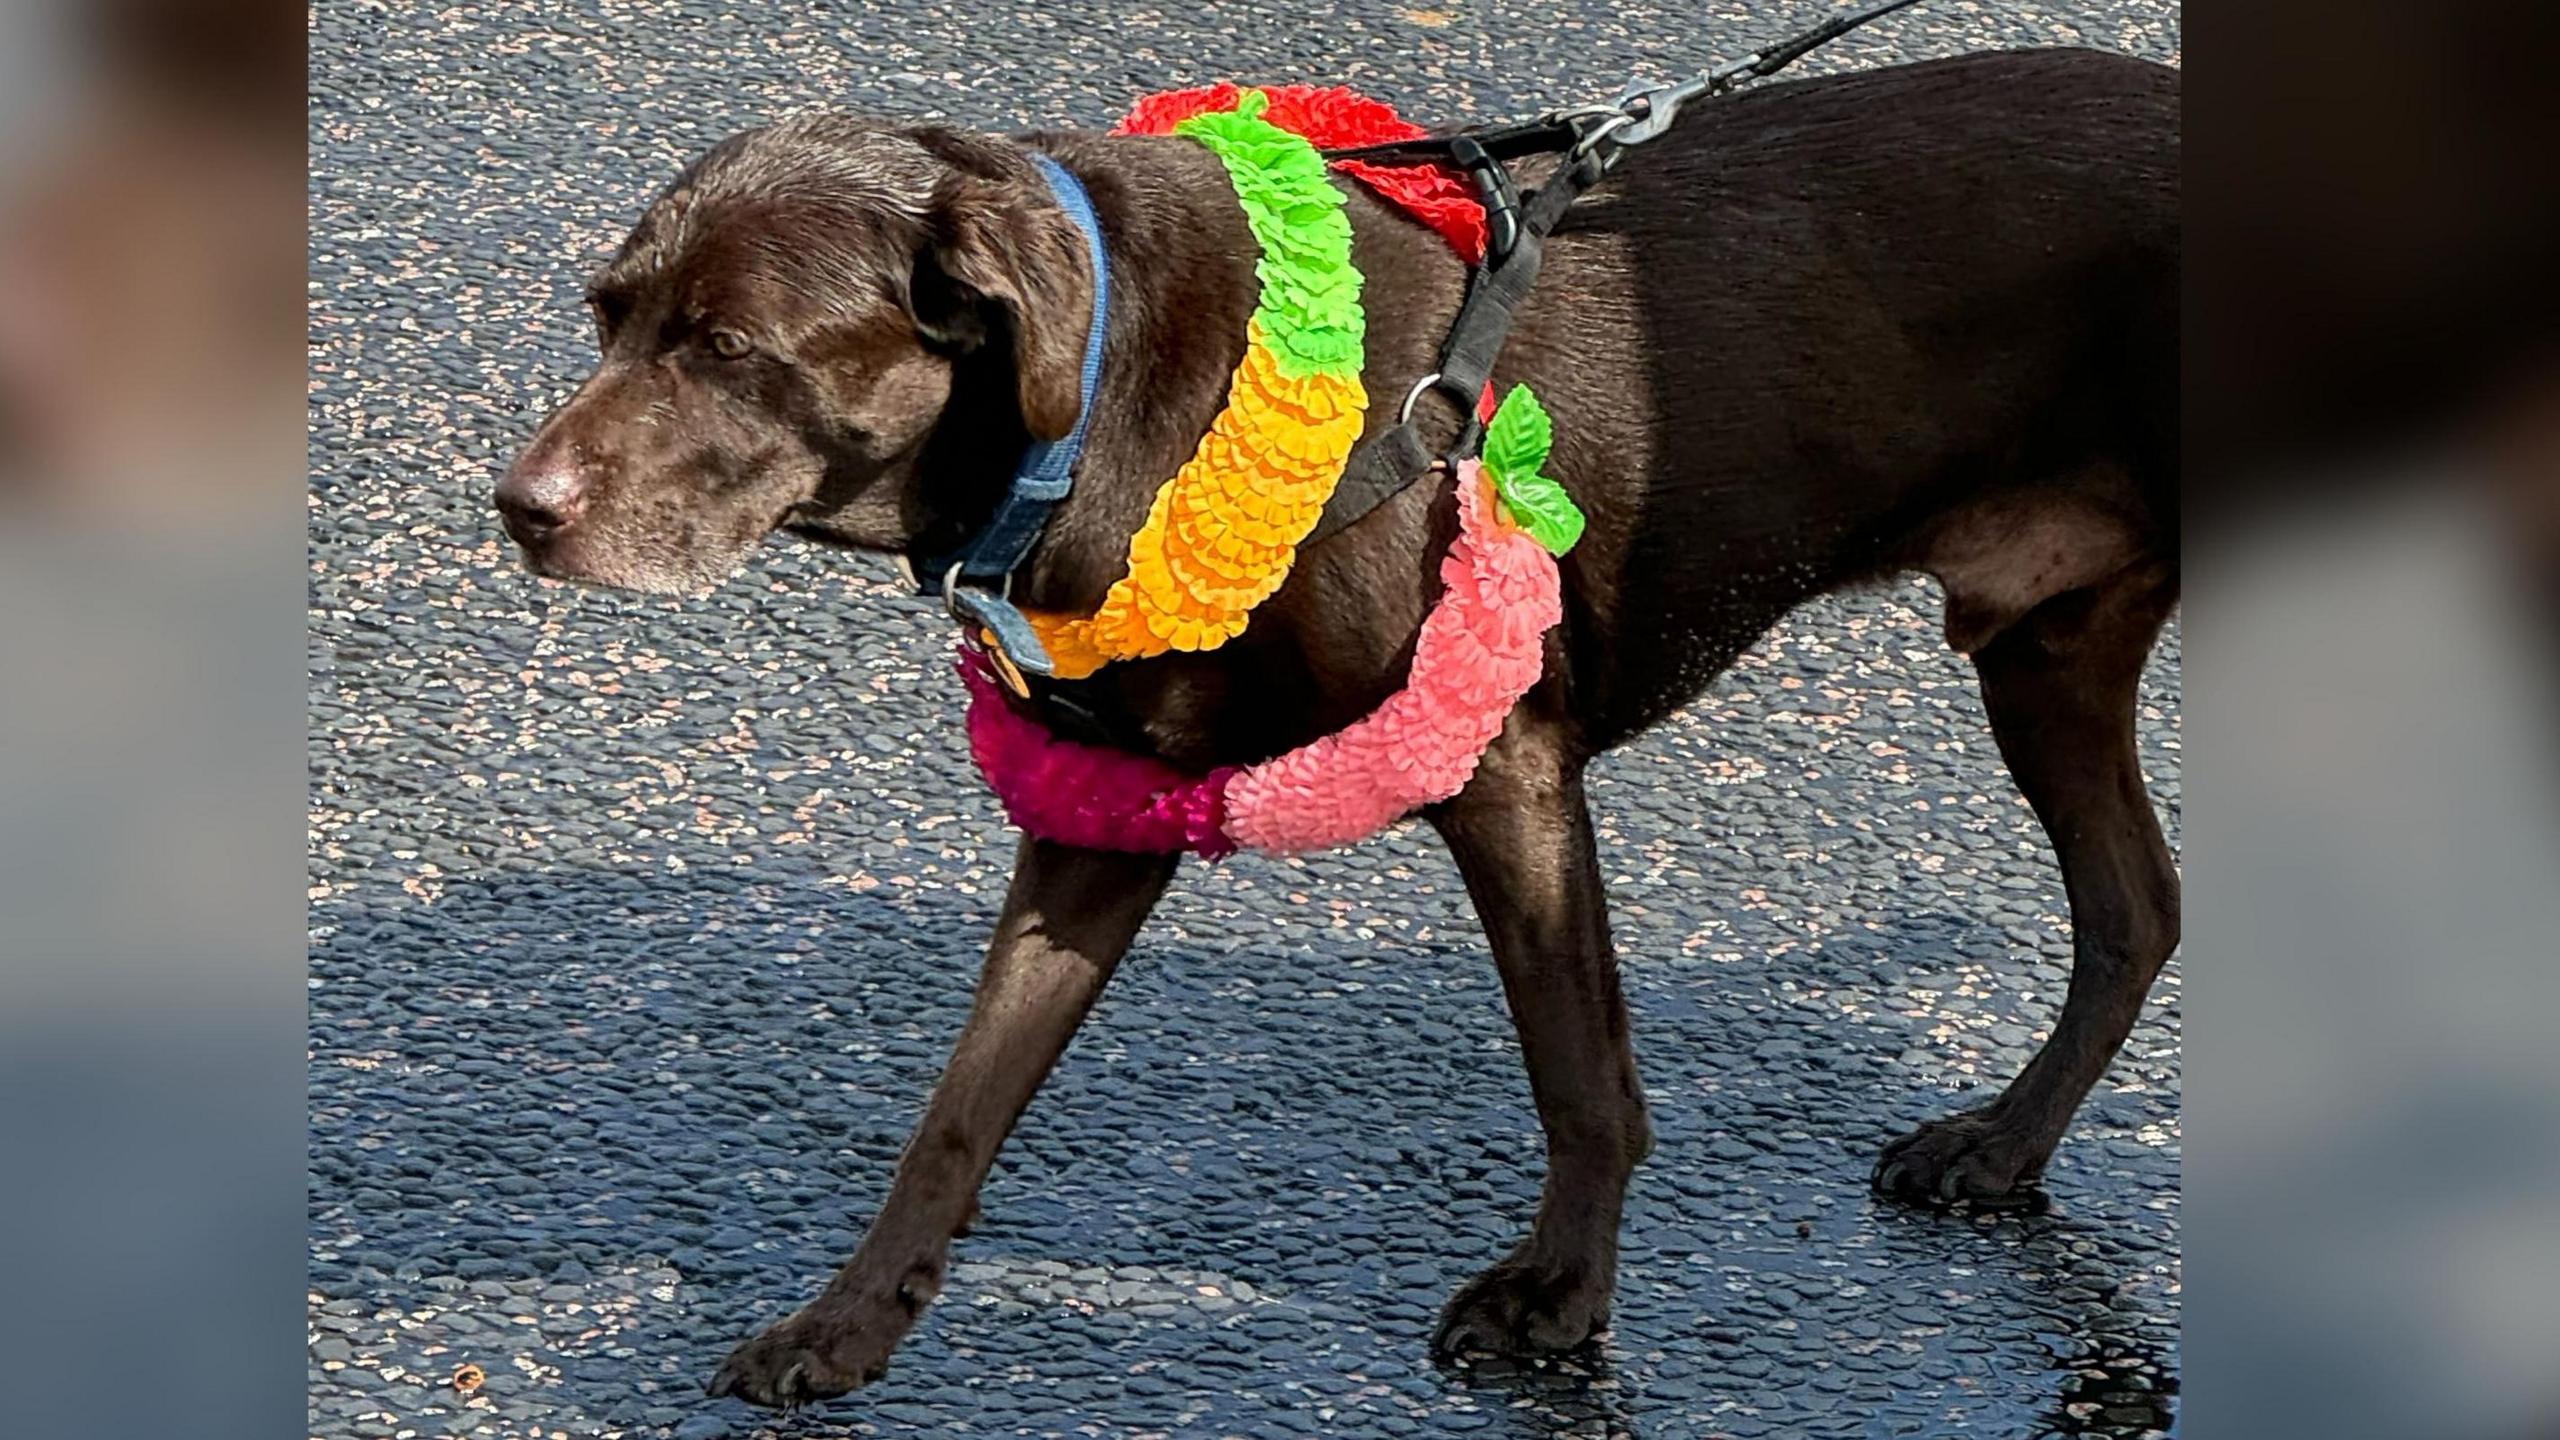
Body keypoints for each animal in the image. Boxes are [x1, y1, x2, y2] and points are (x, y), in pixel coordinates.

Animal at [494, 44, 2181, 1404]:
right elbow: (958, 1106)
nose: (517, 509)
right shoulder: (1098, 814)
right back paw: (2005, 1149)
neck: (1115, 379)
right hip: (2046, 658)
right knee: (2135, 910)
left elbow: (1582, 1073)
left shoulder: (1507, 768)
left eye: (729, 346)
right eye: (605, 316)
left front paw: (1559, 1301)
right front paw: (848, 1326)